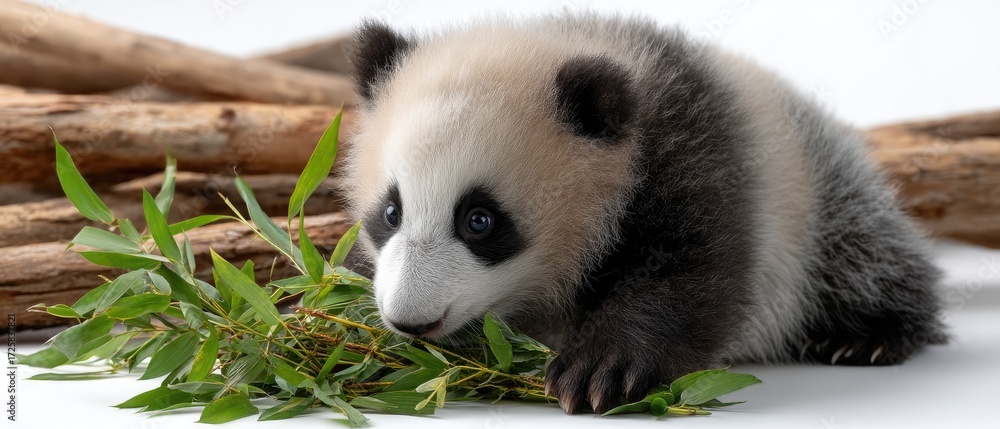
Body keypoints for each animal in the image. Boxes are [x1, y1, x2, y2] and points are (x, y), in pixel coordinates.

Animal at [340, 15, 947, 414]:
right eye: (391, 212)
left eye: (480, 221)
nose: (410, 321)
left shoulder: (692, 153)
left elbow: (690, 271)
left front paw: (598, 370)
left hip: (817, 188)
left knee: (864, 253)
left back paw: (866, 336)